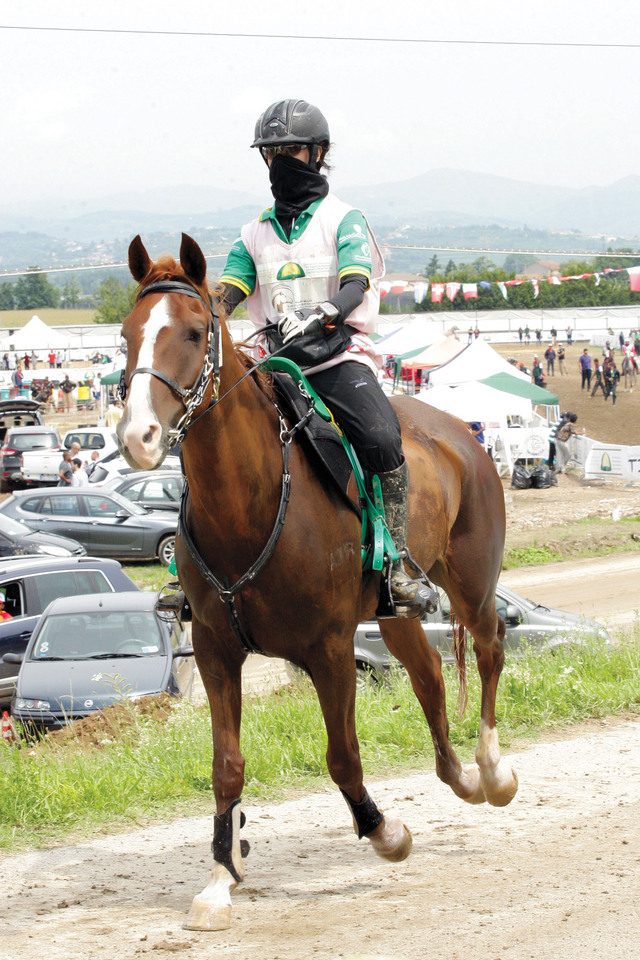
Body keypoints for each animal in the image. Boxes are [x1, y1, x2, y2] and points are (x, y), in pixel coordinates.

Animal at [119, 232, 520, 928]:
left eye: (194, 333)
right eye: (125, 336)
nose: (138, 436)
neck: (248, 503)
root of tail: (461, 434)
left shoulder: (330, 650)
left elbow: (342, 756)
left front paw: (386, 833)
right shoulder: (217, 652)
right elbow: (227, 766)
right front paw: (221, 874)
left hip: (469, 584)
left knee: (490, 647)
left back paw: (491, 771)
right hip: (393, 612)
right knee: (430, 677)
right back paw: (461, 778)